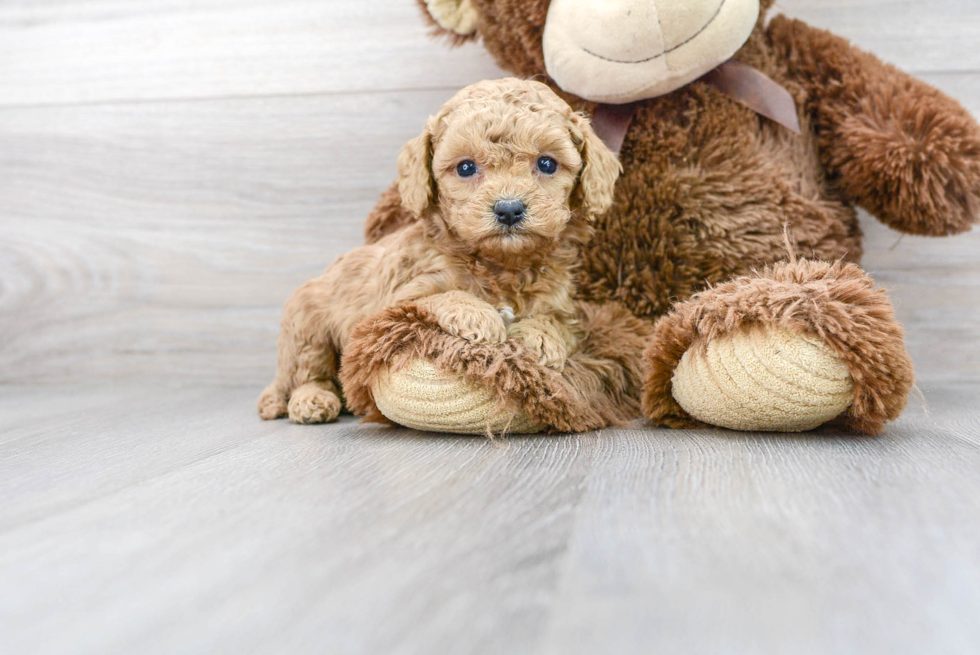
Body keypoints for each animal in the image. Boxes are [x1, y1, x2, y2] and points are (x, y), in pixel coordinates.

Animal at [255, 78, 620, 426]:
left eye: (546, 163)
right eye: (465, 168)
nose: (509, 209)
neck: (500, 265)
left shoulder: (565, 307)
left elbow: (559, 322)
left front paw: (540, 337)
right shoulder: (390, 305)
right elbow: (437, 297)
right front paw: (477, 314)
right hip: (307, 327)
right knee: (307, 374)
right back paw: (311, 400)